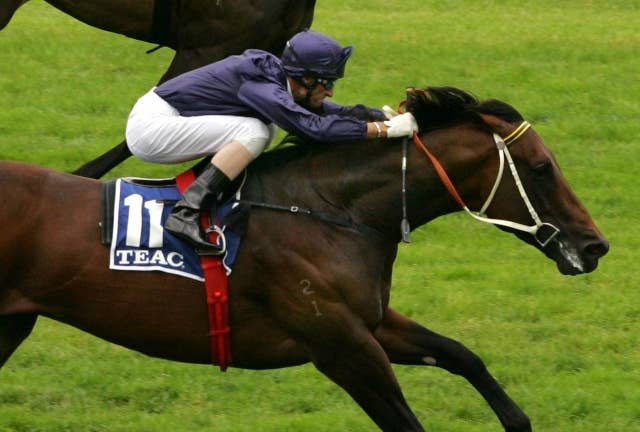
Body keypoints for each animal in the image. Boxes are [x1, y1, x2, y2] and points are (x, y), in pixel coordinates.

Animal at [0, 87, 608, 431]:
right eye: (540, 168)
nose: (594, 245)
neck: (331, 211)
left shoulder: (368, 323)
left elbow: (462, 355)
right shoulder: (341, 347)